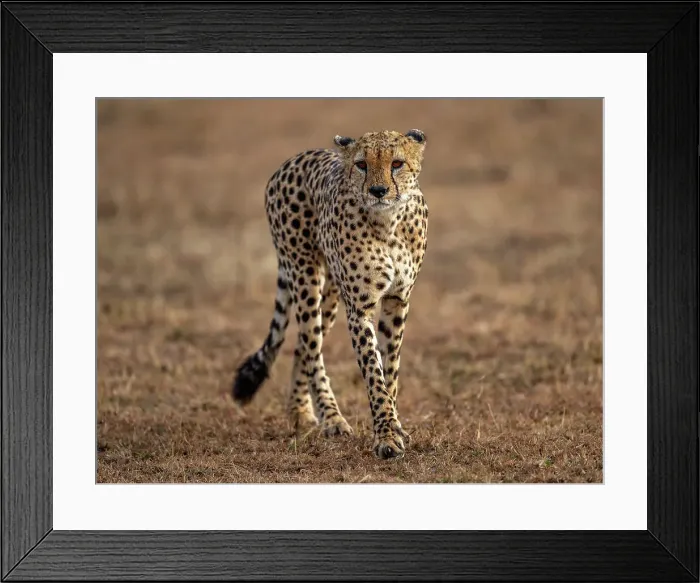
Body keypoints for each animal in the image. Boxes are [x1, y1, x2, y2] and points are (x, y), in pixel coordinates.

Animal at [231, 129, 428, 460]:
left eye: (397, 163)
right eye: (361, 165)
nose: (378, 190)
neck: (388, 223)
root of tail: (292, 159)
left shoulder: (398, 300)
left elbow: (390, 370)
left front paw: (395, 426)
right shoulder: (360, 308)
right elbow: (373, 373)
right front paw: (386, 437)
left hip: (333, 292)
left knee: (304, 343)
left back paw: (301, 411)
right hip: (305, 275)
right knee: (311, 344)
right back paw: (329, 417)